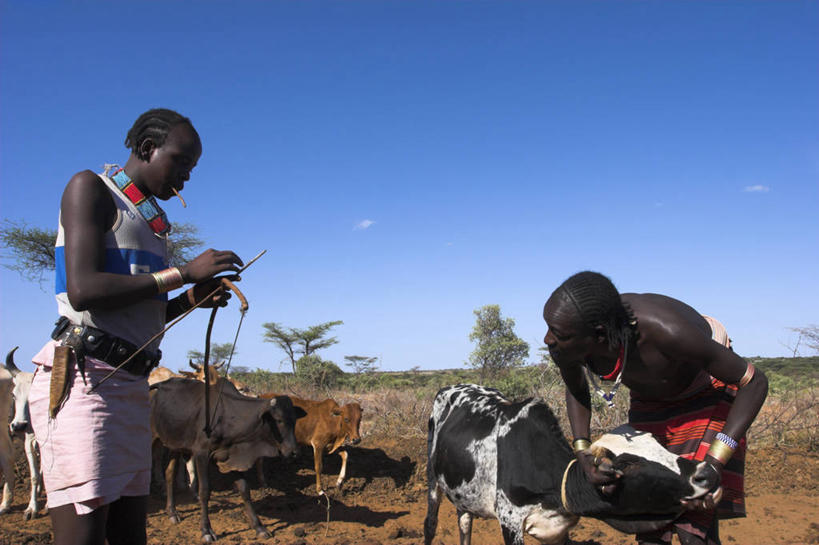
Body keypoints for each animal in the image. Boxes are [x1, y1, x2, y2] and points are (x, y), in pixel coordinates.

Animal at [151, 376, 298, 540]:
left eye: (294, 420)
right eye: (278, 420)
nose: (293, 452)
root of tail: (160, 385)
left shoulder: (232, 458)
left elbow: (244, 490)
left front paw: (259, 527)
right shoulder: (201, 454)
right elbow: (204, 491)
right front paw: (206, 530)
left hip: (176, 446)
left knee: (169, 474)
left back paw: (172, 512)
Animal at [426, 384, 716, 544]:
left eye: (657, 442)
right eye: (629, 463)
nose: (705, 473)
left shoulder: (557, 530)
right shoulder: (509, 521)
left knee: (465, 522)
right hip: (432, 481)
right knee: (431, 524)